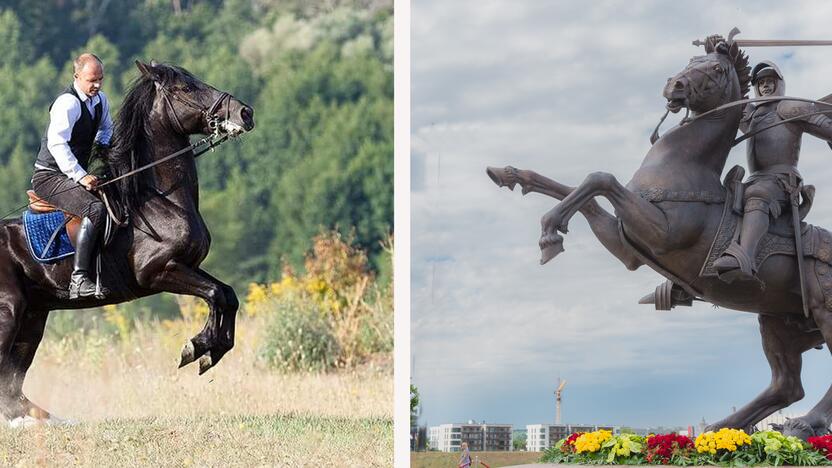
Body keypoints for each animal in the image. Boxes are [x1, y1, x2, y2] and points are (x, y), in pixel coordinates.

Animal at [0, 60, 254, 422]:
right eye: (186, 88)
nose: (245, 113)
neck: (159, 199)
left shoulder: (186, 265)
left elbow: (228, 295)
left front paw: (210, 351)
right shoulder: (159, 272)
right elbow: (215, 294)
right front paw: (197, 348)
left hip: (33, 317)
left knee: (13, 383)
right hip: (10, 311)